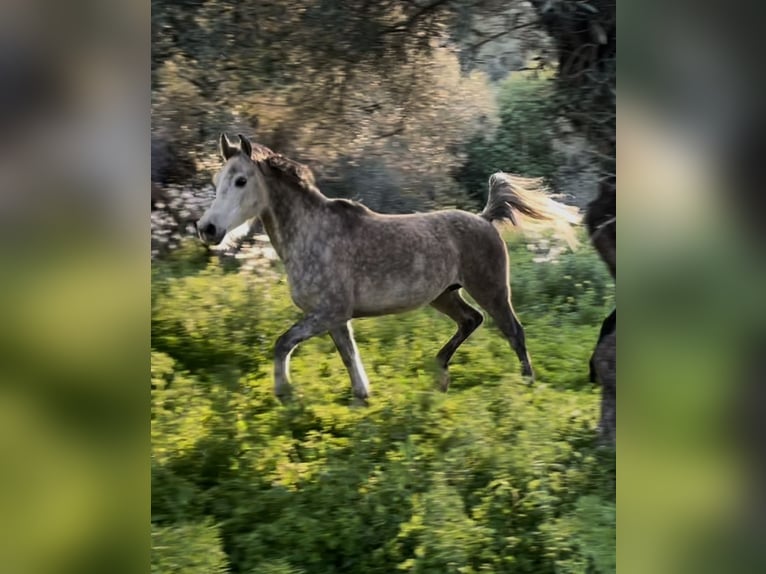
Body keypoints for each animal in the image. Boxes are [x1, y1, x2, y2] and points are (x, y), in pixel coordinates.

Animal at [197, 133, 579, 403]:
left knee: (514, 332)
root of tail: (485, 218)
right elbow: (349, 358)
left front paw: (285, 394)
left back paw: (526, 386)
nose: (207, 229)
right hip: (443, 295)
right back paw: (440, 374)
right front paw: (361, 399)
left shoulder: (328, 313)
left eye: (241, 181)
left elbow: (282, 343)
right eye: (216, 182)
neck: (312, 233)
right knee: (471, 320)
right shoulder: (335, 318)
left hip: (491, 290)